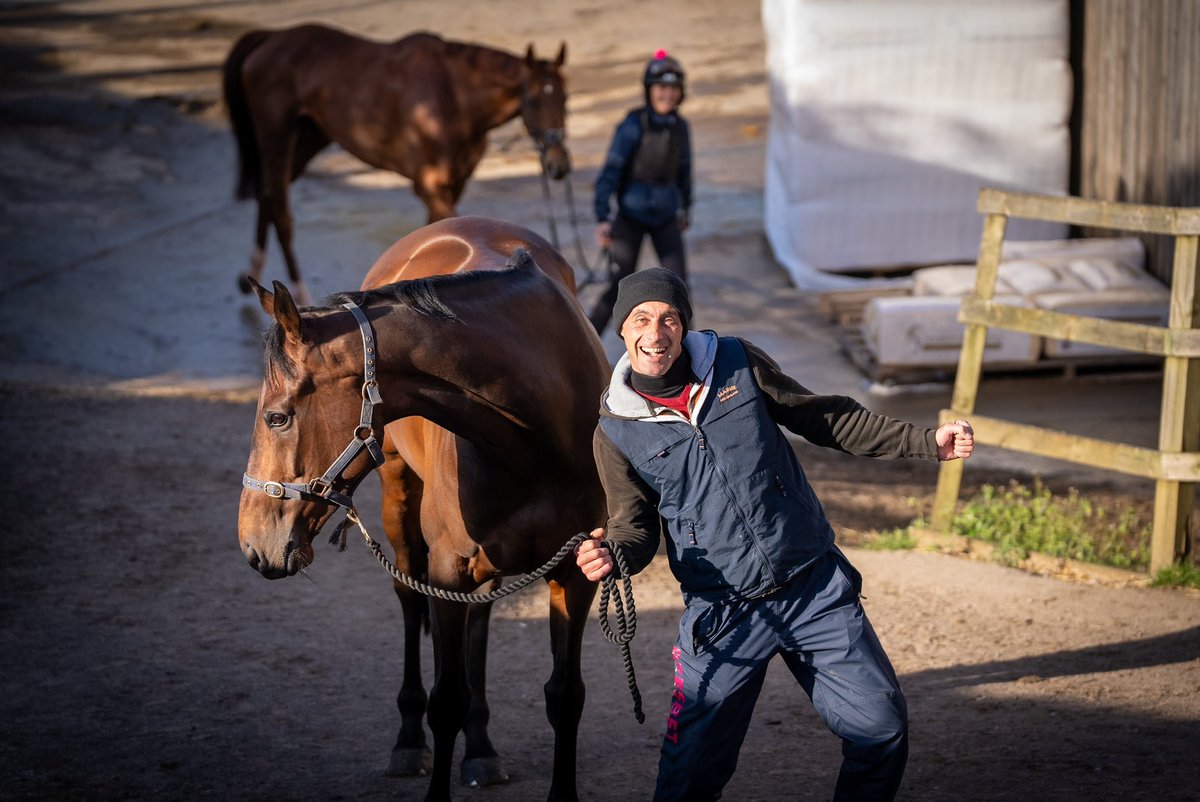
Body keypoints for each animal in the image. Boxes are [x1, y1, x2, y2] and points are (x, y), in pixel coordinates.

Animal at [222, 24, 571, 307]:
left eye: (565, 99)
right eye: (532, 100)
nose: (559, 166)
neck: (453, 95)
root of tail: (270, 38)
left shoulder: (455, 182)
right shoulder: (430, 185)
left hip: (307, 140)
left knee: (267, 194)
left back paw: (250, 274)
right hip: (277, 137)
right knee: (280, 210)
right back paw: (298, 292)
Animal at [237, 214, 609, 802]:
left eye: (277, 417)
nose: (253, 543)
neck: (536, 428)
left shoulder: (576, 569)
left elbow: (565, 695)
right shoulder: (447, 567)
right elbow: (446, 699)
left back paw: (481, 749)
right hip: (400, 497)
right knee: (410, 601)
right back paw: (409, 741)